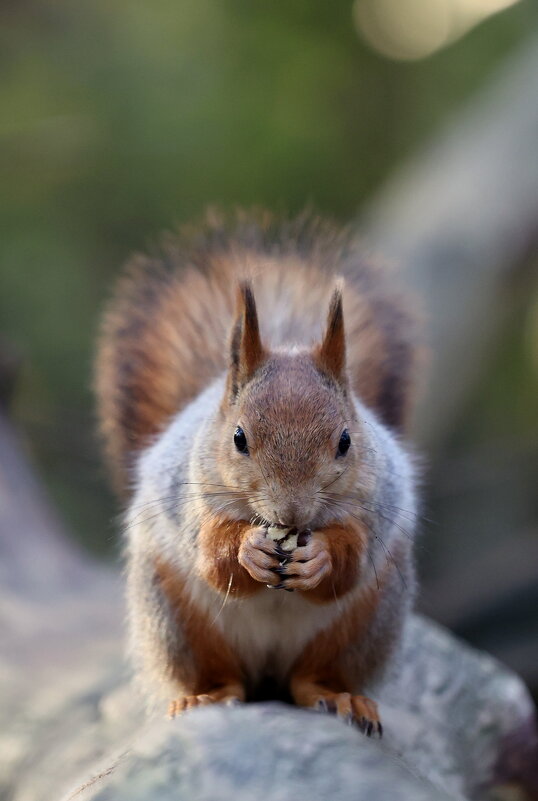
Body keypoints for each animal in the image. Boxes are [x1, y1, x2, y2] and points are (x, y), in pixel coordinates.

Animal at [95, 209, 418, 736]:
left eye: (346, 441)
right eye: (239, 438)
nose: (291, 512)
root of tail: (268, 669)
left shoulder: (375, 502)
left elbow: (351, 556)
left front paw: (321, 557)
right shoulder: (189, 496)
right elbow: (212, 553)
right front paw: (247, 548)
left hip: (365, 621)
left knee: (312, 677)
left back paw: (338, 695)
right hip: (177, 620)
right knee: (223, 676)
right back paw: (204, 696)